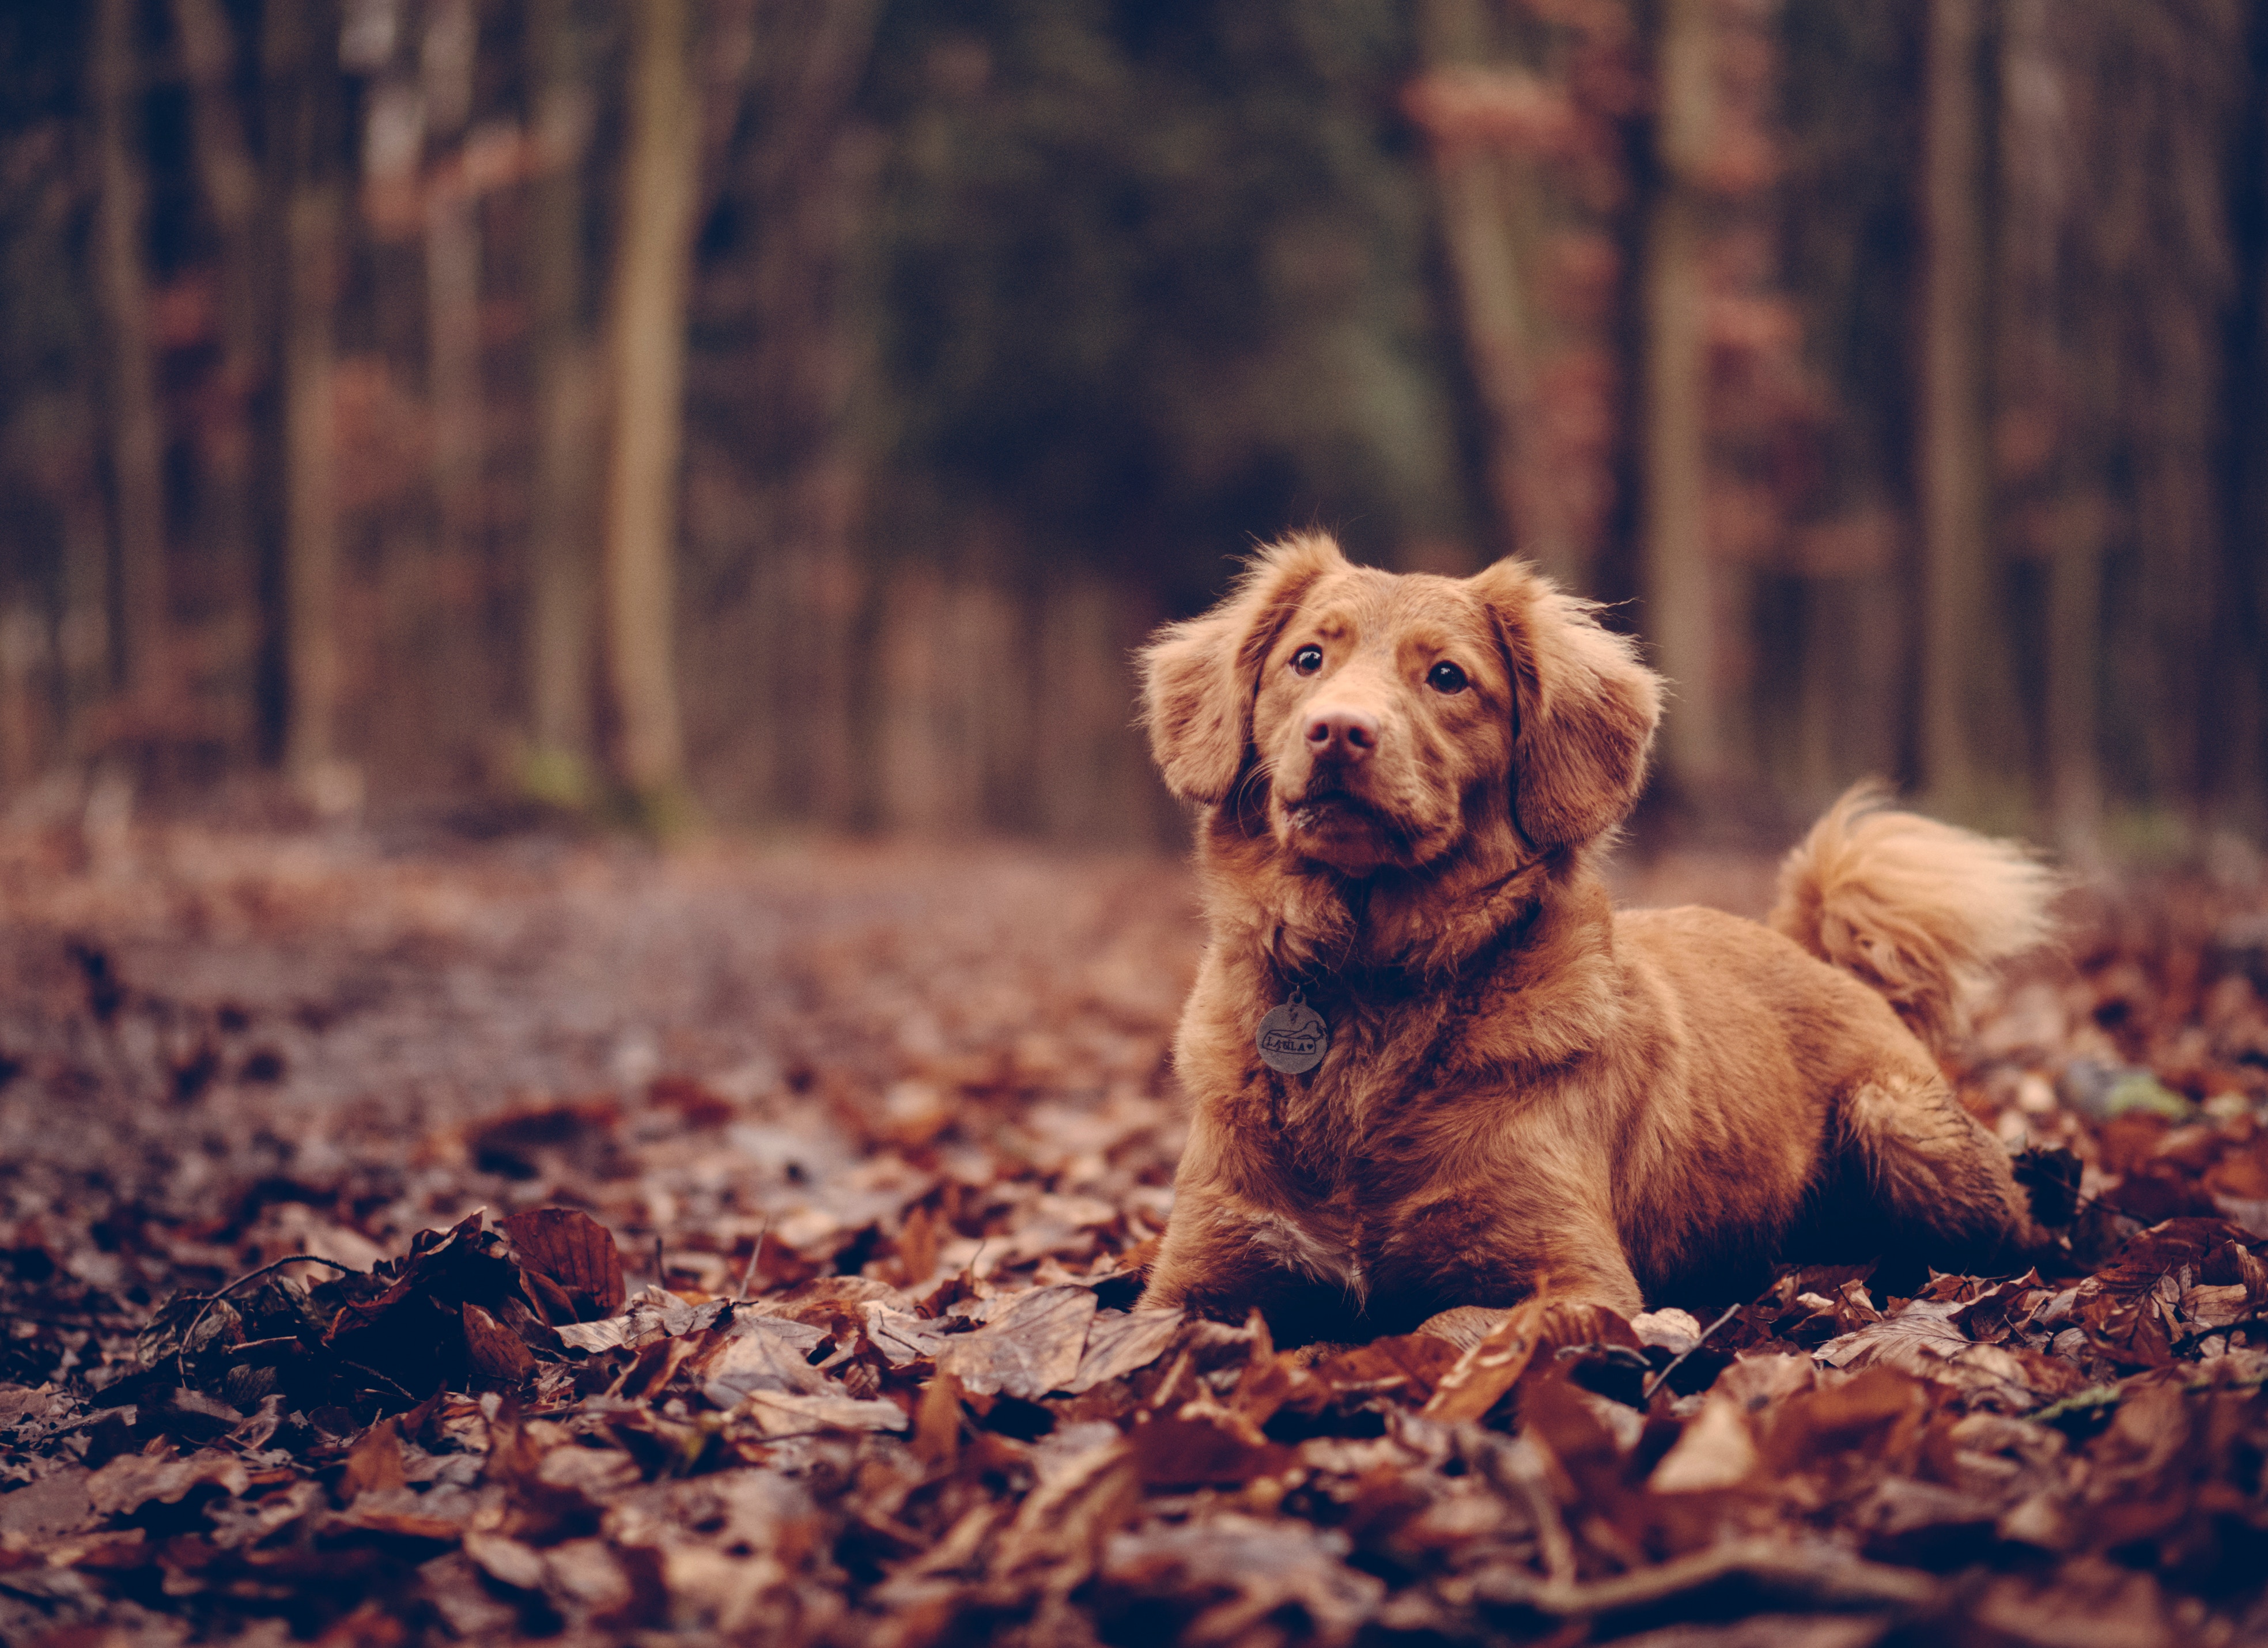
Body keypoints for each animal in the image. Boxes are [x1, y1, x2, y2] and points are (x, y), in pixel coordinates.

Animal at [1134, 535, 2059, 1351]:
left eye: (1448, 678)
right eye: (1307, 661)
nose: (1338, 730)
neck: (1368, 980)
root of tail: (1816, 955)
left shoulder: (1578, 1278)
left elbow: (1438, 1328)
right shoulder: (1195, 1274)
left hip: (1896, 1121)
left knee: (2025, 1228)